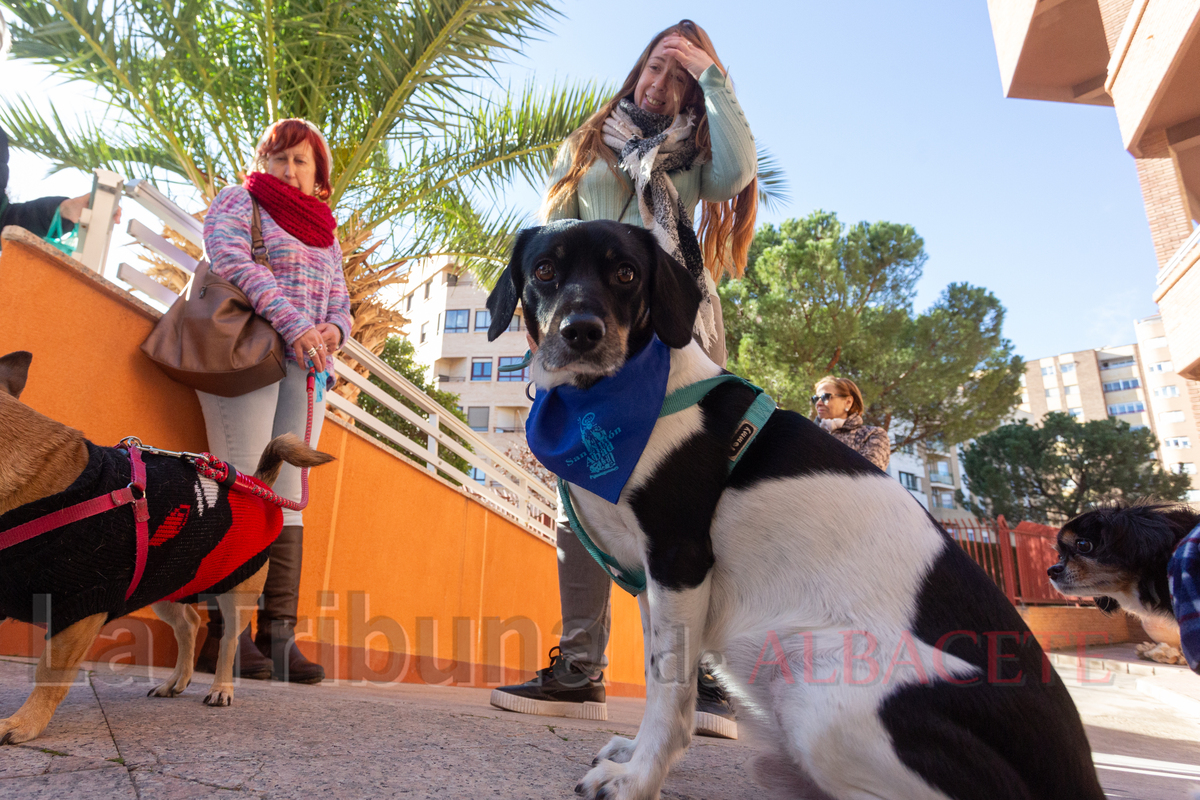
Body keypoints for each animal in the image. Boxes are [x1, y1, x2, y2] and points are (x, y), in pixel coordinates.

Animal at [1, 352, 333, 743]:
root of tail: (255, 485)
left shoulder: (81, 609)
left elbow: (50, 673)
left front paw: (24, 723)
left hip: (236, 593)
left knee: (228, 641)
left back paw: (221, 688)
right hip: (163, 585)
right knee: (189, 624)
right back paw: (177, 681)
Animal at [482, 220, 1099, 800]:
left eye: (626, 273)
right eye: (544, 270)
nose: (580, 332)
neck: (626, 396)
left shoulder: (680, 560)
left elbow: (670, 685)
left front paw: (637, 779)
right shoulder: (646, 578)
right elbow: (663, 680)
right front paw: (636, 757)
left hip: (821, 695)